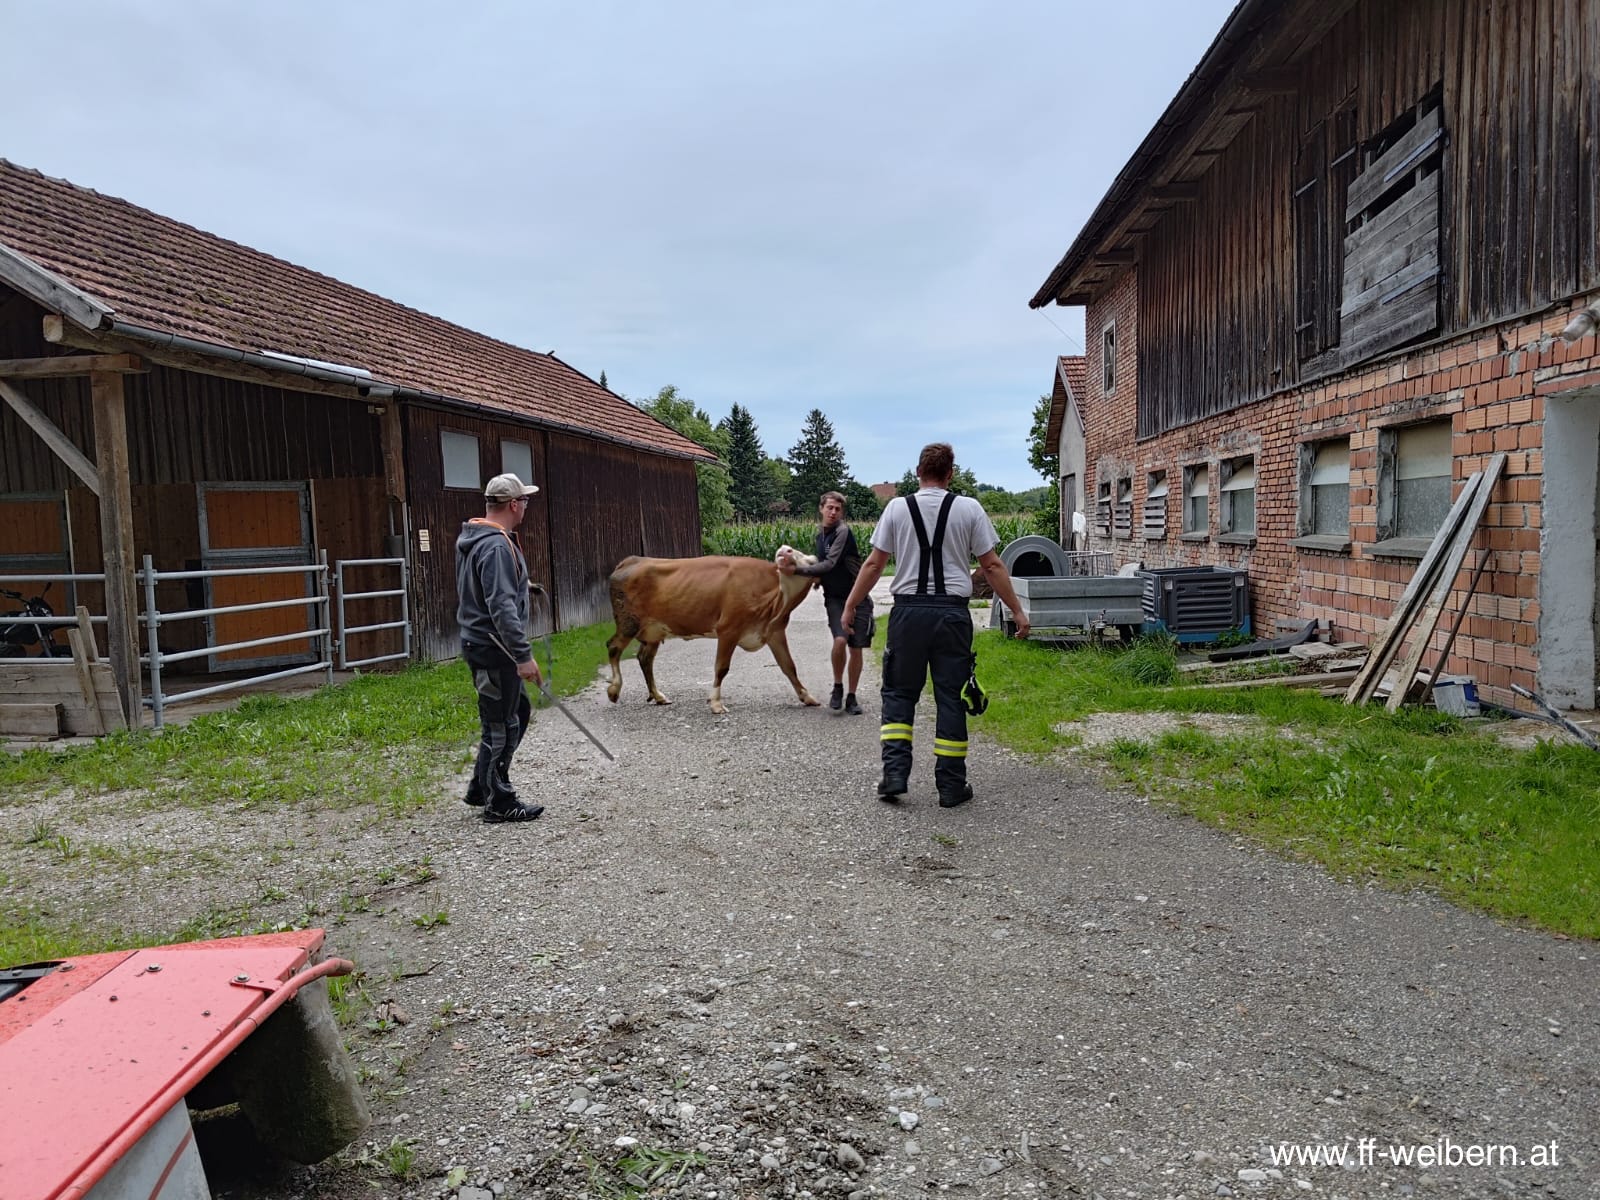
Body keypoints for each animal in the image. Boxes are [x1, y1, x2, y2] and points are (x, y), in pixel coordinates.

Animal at [601, 547, 819, 713]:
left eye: (809, 560)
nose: (785, 549)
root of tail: (632, 559)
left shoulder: (774, 631)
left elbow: (788, 666)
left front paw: (807, 696)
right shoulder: (728, 629)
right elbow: (721, 668)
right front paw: (716, 703)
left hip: (654, 630)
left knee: (645, 659)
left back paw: (658, 696)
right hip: (628, 622)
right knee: (613, 647)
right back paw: (614, 690)